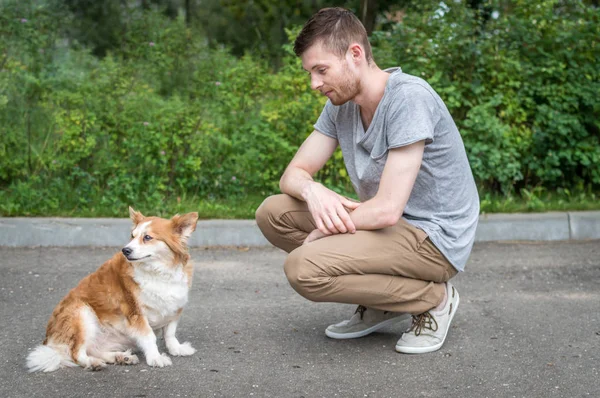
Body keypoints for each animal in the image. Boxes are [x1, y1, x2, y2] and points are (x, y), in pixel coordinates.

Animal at [27, 207, 199, 372]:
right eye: (132, 236)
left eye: (147, 237)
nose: (125, 250)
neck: (158, 272)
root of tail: (50, 339)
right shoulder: (135, 313)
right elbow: (149, 336)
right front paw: (155, 357)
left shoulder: (174, 307)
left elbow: (170, 333)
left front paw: (176, 349)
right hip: (81, 313)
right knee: (76, 353)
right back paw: (93, 363)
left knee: (93, 349)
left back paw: (120, 357)